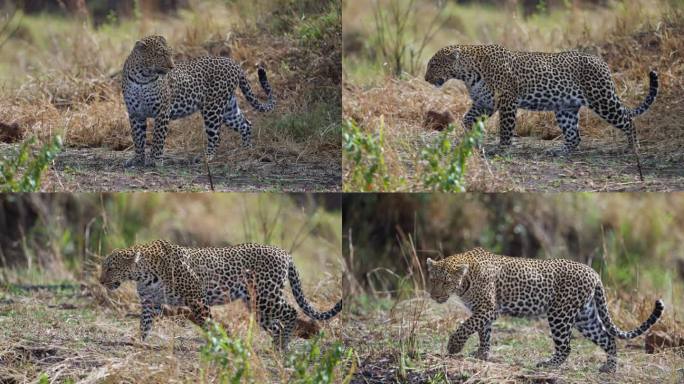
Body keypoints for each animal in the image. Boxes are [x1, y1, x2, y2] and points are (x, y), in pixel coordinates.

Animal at [97, 238, 340, 350]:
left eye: (110, 267)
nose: (100, 281)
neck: (143, 274)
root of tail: (285, 253)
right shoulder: (150, 303)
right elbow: (144, 324)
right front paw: (138, 342)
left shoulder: (197, 299)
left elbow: (208, 323)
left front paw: (218, 343)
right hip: (255, 303)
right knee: (275, 324)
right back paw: (276, 345)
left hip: (266, 296)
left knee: (290, 312)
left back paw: (283, 345)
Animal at [123, 35, 276, 166]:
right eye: (160, 54)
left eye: (170, 54)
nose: (172, 67)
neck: (142, 78)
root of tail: (233, 63)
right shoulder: (135, 113)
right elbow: (138, 138)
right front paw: (137, 159)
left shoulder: (162, 112)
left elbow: (158, 138)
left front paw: (155, 160)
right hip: (228, 108)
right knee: (246, 124)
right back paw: (246, 150)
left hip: (213, 108)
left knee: (216, 136)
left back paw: (207, 157)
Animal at [428, 46, 656, 156]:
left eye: (433, 65)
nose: (425, 78)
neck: (468, 73)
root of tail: (602, 62)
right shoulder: (485, 103)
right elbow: (468, 119)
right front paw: (467, 138)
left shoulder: (507, 101)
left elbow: (506, 128)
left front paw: (502, 149)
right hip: (565, 108)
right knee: (574, 136)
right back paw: (559, 151)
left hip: (602, 99)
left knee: (627, 120)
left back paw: (633, 148)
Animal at [428, 248, 664, 374]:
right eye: (433, 280)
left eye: (446, 282)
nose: (434, 296)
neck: (465, 280)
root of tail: (594, 273)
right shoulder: (483, 311)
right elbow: (483, 333)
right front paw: (482, 355)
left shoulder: (488, 309)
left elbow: (466, 326)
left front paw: (454, 346)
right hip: (584, 317)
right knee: (608, 338)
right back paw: (609, 368)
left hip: (560, 314)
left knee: (566, 347)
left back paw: (547, 365)